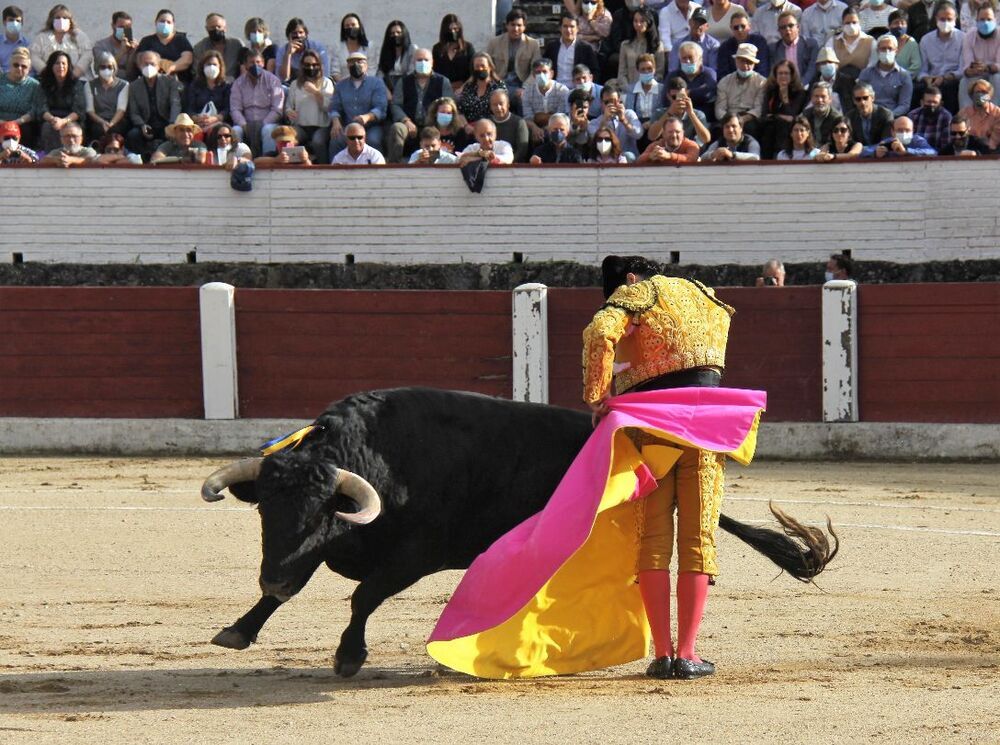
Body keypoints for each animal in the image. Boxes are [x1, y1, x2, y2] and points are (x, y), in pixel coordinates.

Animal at [201, 386, 836, 676]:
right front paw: (239, 629)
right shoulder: (303, 552)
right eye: (265, 511)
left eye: (320, 512)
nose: (273, 577)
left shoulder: (412, 555)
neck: (377, 456)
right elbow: (291, 588)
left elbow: (363, 596)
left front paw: (348, 657)